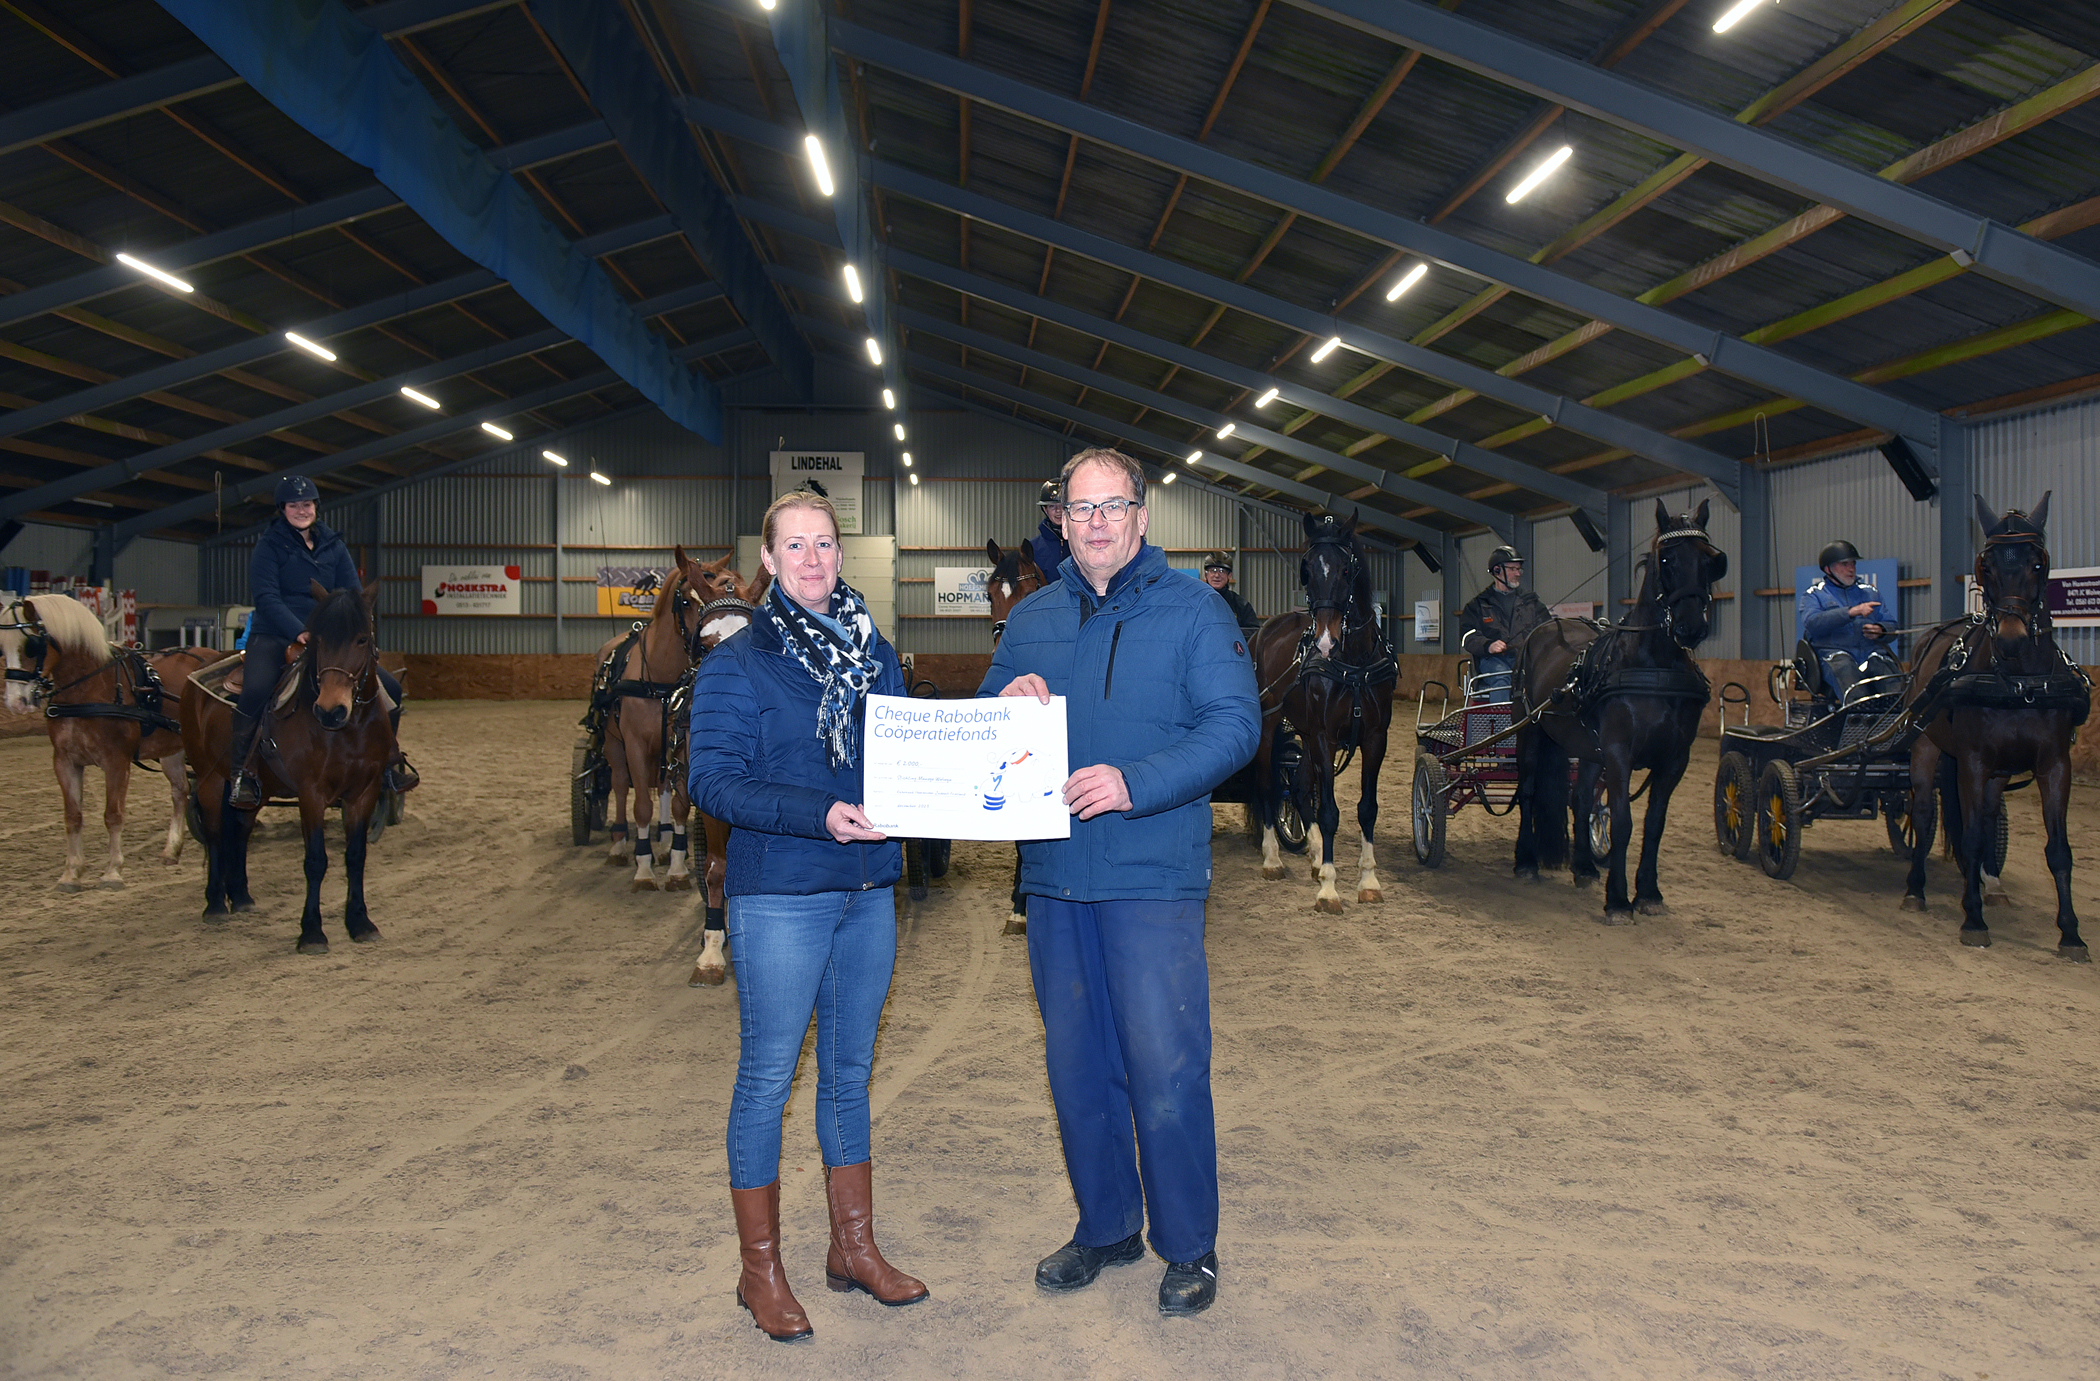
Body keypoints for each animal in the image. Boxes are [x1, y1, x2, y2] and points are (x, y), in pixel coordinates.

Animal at [2, 596, 222, 894]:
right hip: (172, 750)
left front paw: (112, 873)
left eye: (30, 645)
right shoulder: (64, 761)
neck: (90, 688)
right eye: (2, 647)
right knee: (181, 791)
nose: (15, 703)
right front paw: (71, 874)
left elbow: (113, 815)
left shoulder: (116, 761)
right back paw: (171, 850)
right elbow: (73, 817)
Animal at [181, 579, 396, 948]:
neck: (346, 730)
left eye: (361, 639)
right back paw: (216, 904)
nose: (331, 710)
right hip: (209, 779)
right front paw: (311, 932)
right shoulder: (311, 795)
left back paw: (241, 898)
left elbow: (356, 857)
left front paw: (360, 923)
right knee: (215, 833)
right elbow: (316, 861)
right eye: (318, 640)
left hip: (256, 790)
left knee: (240, 830)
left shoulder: (363, 792)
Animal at [1243, 510, 1394, 910]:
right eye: (1307, 570)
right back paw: (1273, 858)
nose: (1326, 642)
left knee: (1297, 788)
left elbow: (1367, 808)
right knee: (1268, 786)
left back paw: (1312, 853)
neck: (1354, 662)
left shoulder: (1375, 738)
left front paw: (1368, 880)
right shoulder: (1326, 737)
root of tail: (1262, 630)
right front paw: (1329, 887)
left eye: (1347, 569)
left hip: (1306, 734)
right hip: (1270, 725)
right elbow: (1329, 812)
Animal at [1520, 499, 1730, 919]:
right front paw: (1618, 900)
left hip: (1587, 748)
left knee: (1580, 799)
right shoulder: (1619, 754)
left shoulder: (1674, 759)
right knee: (1529, 791)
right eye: (1666, 559)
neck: (1655, 666)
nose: (1691, 627)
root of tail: (1546, 628)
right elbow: (1621, 823)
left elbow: (1653, 825)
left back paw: (1584, 867)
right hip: (1533, 730)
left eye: (1710, 560)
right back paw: (1527, 862)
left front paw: (1648, 893)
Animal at [1898, 495, 2091, 957]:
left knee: (1985, 818)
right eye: (1985, 566)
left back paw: (1991, 883)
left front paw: (2071, 933)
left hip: (1999, 773)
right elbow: (1966, 837)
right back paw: (1916, 889)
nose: (2011, 637)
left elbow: (2058, 850)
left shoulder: (2054, 765)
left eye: (2038, 563)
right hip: (1926, 747)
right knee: (1924, 814)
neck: (2020, 684)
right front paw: (1973, 919)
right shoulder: (1972, 761)